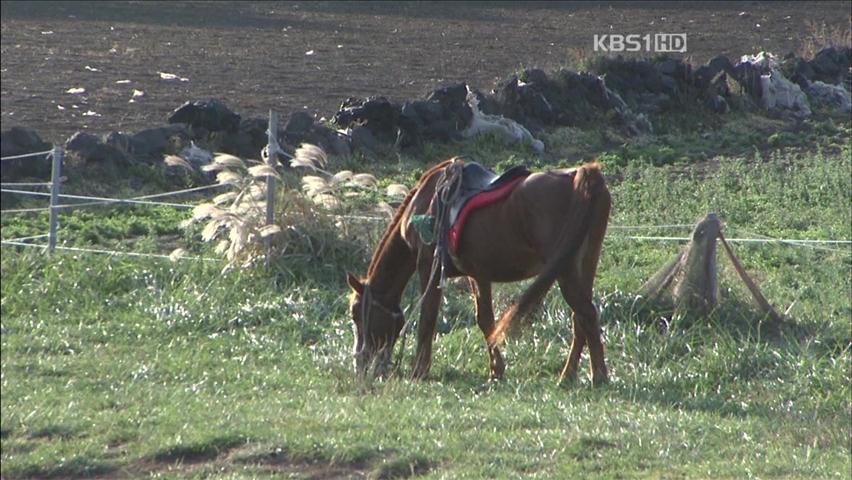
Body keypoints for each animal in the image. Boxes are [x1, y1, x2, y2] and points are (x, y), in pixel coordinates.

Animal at [346, 158, 612, 386]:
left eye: (357, 314)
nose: (360, 364)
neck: (426, 204)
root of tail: (581, 175)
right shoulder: (478, 274)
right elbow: (486, 321)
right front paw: (496, 370)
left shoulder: (429, 267)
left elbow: (428, 318)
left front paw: (419, 371)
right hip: (584, 263)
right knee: (580, 318)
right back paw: (569, 376)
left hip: (566, 269)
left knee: (586, 314)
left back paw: (598, 377)